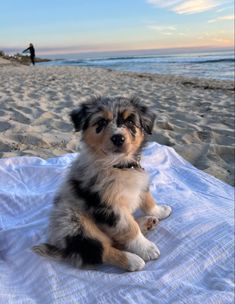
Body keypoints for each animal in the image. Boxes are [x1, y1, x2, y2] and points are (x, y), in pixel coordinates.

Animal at [33, 95, 172, 270]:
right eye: (101, 122)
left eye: (130, 122)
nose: (118, 138)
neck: (118, 165)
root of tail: (64, 249)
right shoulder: (107, 206)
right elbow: (129, 228)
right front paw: (146, 248)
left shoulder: (140, 183)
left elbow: (147, 200)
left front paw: (159, 211)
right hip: (75, 223)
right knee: (103, 249)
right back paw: (133, 260)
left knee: (115, 240)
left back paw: (147, 222)